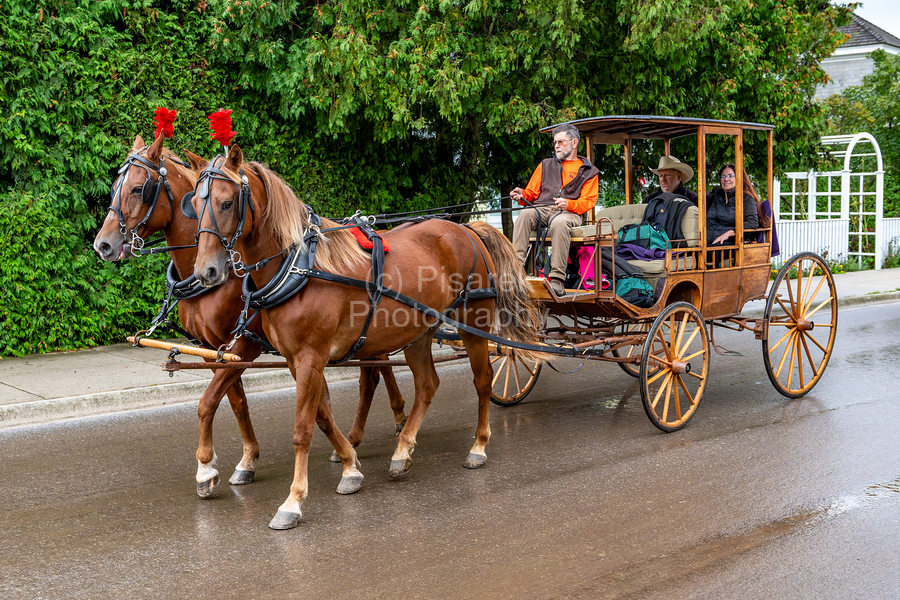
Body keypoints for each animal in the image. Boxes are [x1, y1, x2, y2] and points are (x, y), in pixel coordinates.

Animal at [93, 134, 408, 499]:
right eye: (115, 186)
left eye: (138, 188)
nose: (102, 245)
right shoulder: (217, 349)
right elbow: (237, 403)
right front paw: (247, 461)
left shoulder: (246, 345)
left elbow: (209, 402)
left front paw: (206, 469)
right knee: (377, 367)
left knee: (375, 370)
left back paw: (389, 424)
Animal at [189, 145, 544, 529]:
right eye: (193, 204)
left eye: (227, 203)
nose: (206, 272)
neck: (299, 266)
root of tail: (467, 228)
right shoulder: (293, 358)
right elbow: (319, 416)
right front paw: (350, 466)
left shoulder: (311, 356)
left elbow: (303, 429)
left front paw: (293, 501)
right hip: (418, 331)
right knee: (427, 384)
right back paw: (402, 450)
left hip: (471, 324)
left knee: (482, 381)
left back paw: (478, 447)